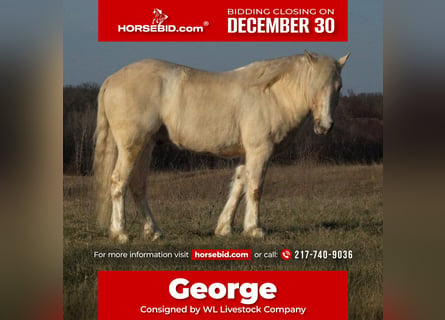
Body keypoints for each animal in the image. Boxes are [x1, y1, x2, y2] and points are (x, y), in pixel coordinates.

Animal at [94, 50, 350, 242]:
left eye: (338, 87)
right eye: (314, 85)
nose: (325, 125)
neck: (271, 94)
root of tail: (112, 79)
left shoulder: (247, 153)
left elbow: (238, 186)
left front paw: (224, 228)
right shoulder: (260, 151)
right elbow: (255, 188)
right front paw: (255, 229)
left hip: (145, 146)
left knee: (137, 186)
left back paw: (153, 232)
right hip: (131, 146)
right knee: (118, 182)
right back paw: (120, 233)